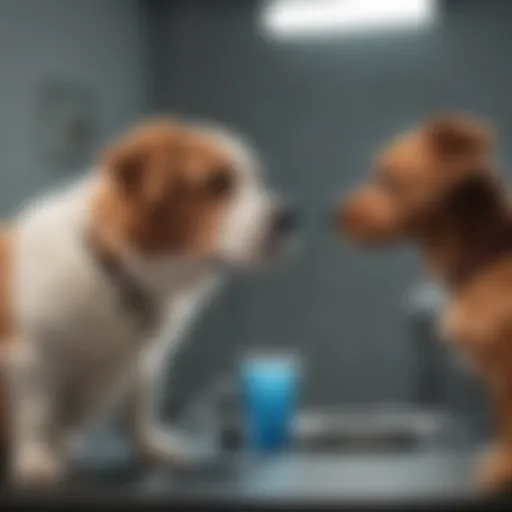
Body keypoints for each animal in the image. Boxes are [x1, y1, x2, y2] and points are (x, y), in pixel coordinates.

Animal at [0, 117, 296, 488]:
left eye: (258, 179)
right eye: (217, 182)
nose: (289, 218)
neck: (113, 267)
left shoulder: (142, 363)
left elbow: (139, 407)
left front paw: (151, 447)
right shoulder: (31, 356)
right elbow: (36, 411)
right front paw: (37, 459)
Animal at [336, 113, 512, 492]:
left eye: (387, 178)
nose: (334, 213)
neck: (484, 254)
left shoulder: (505, 367)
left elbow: (507, 421)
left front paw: (501, 467)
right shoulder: (495, 375)